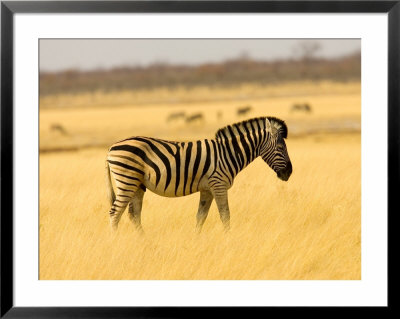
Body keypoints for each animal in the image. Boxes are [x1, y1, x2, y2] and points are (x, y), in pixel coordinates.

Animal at [105, 116, 294, 234]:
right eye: (281, 147)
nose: (289, 173)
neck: (229, 153)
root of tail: (111, 147)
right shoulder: (218, 184)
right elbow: (225, 215)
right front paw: (229, 238)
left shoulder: (207, 189)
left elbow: (200, 217)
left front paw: (196, 240)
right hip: (127, 180)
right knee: (115, 212)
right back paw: (115, 241)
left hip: (137, 184)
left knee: (134, 214)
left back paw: (143, 242)